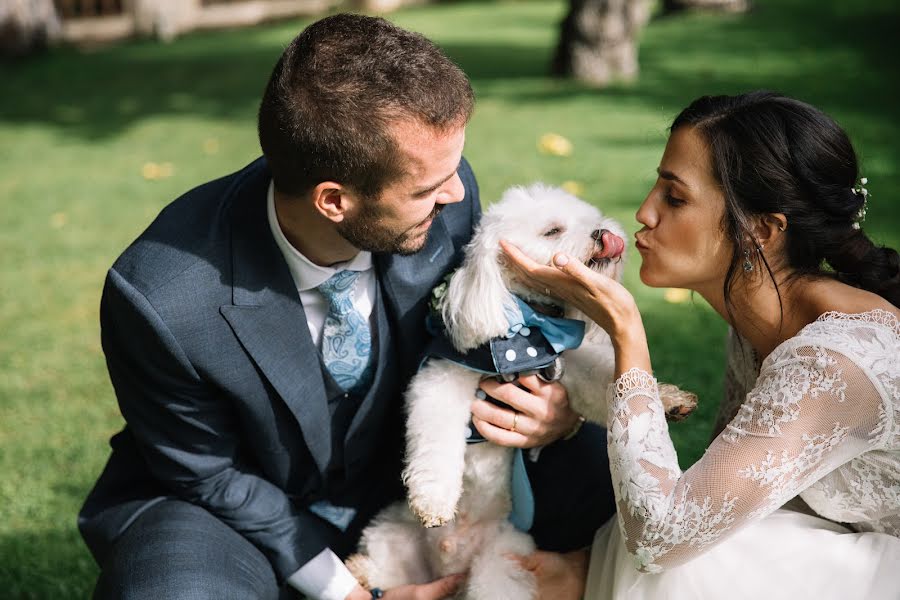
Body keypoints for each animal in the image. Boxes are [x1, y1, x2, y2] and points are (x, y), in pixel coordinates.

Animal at [344, 185, 696, 596]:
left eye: (592, 219)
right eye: (553, 231)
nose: (603, 233)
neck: (529, 326)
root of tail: (449, 559)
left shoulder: (568, 364)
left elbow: (607, 382)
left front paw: (668, 401)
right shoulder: (443, 375)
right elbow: (436, 437)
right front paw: (433, 500)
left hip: (499, 561)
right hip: (390, 535)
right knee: (383, 572)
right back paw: (359, 571)